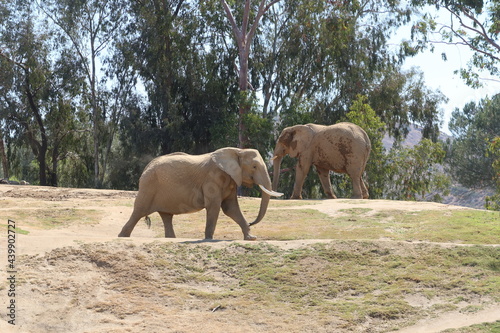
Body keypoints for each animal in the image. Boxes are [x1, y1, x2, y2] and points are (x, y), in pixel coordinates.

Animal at [116, 147, 282, 239]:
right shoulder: (212, 178)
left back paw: (171, 239)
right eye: (254, 167)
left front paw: (251, 238)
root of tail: (147, 166)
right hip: (148, 186)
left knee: (166, 216)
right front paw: (209, 239)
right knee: (139, 211)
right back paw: (122, 236)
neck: (237, 151)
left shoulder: (231, 179)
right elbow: (214, 206)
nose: (251, 222)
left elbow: (231, 208)